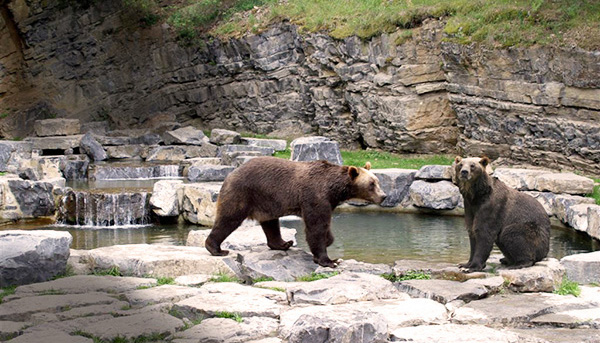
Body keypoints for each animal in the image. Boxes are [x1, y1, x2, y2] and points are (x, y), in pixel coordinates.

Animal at [204, 157, 386, 268]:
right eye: (371, 184)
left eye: (377, 181)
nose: (383, 196)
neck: (333, 189)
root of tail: (230, 174)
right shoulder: (315, 197)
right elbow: (316, 226)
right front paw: (329, 260)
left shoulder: (328, 202)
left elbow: (324, 225)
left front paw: (329, 240)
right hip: (243, 192)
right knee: (229, 218)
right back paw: (217, 248)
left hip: (266, 201)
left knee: (271, 223)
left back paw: (284, 243)